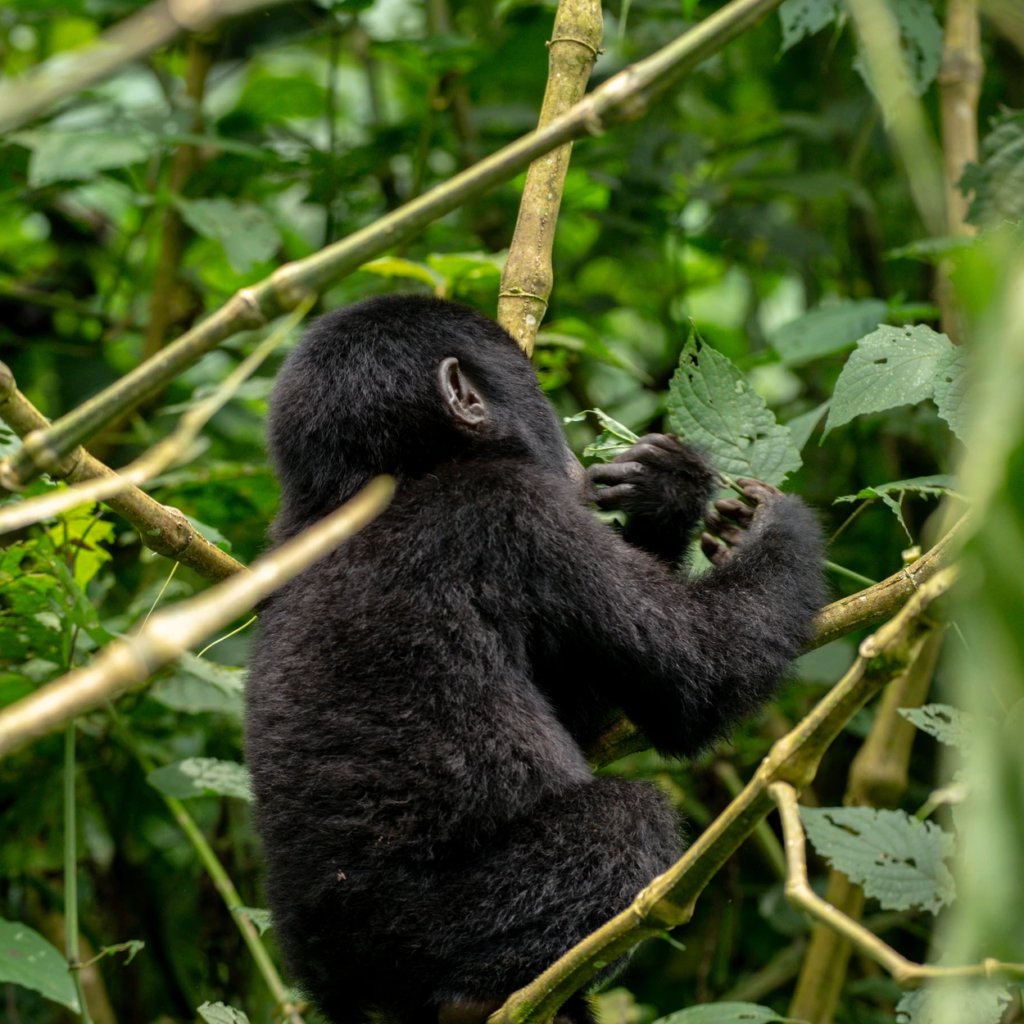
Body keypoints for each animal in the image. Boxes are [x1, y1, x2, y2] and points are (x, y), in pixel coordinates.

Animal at [245, 294, 825, 1024]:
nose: (574, 460)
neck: (367, 486)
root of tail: (337, 982)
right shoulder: (520, 511)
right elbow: (698, 678)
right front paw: (769, 526)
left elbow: (587, 706)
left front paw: (660, 488)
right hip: (426, 931)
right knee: (625, 823)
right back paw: (487, 995)